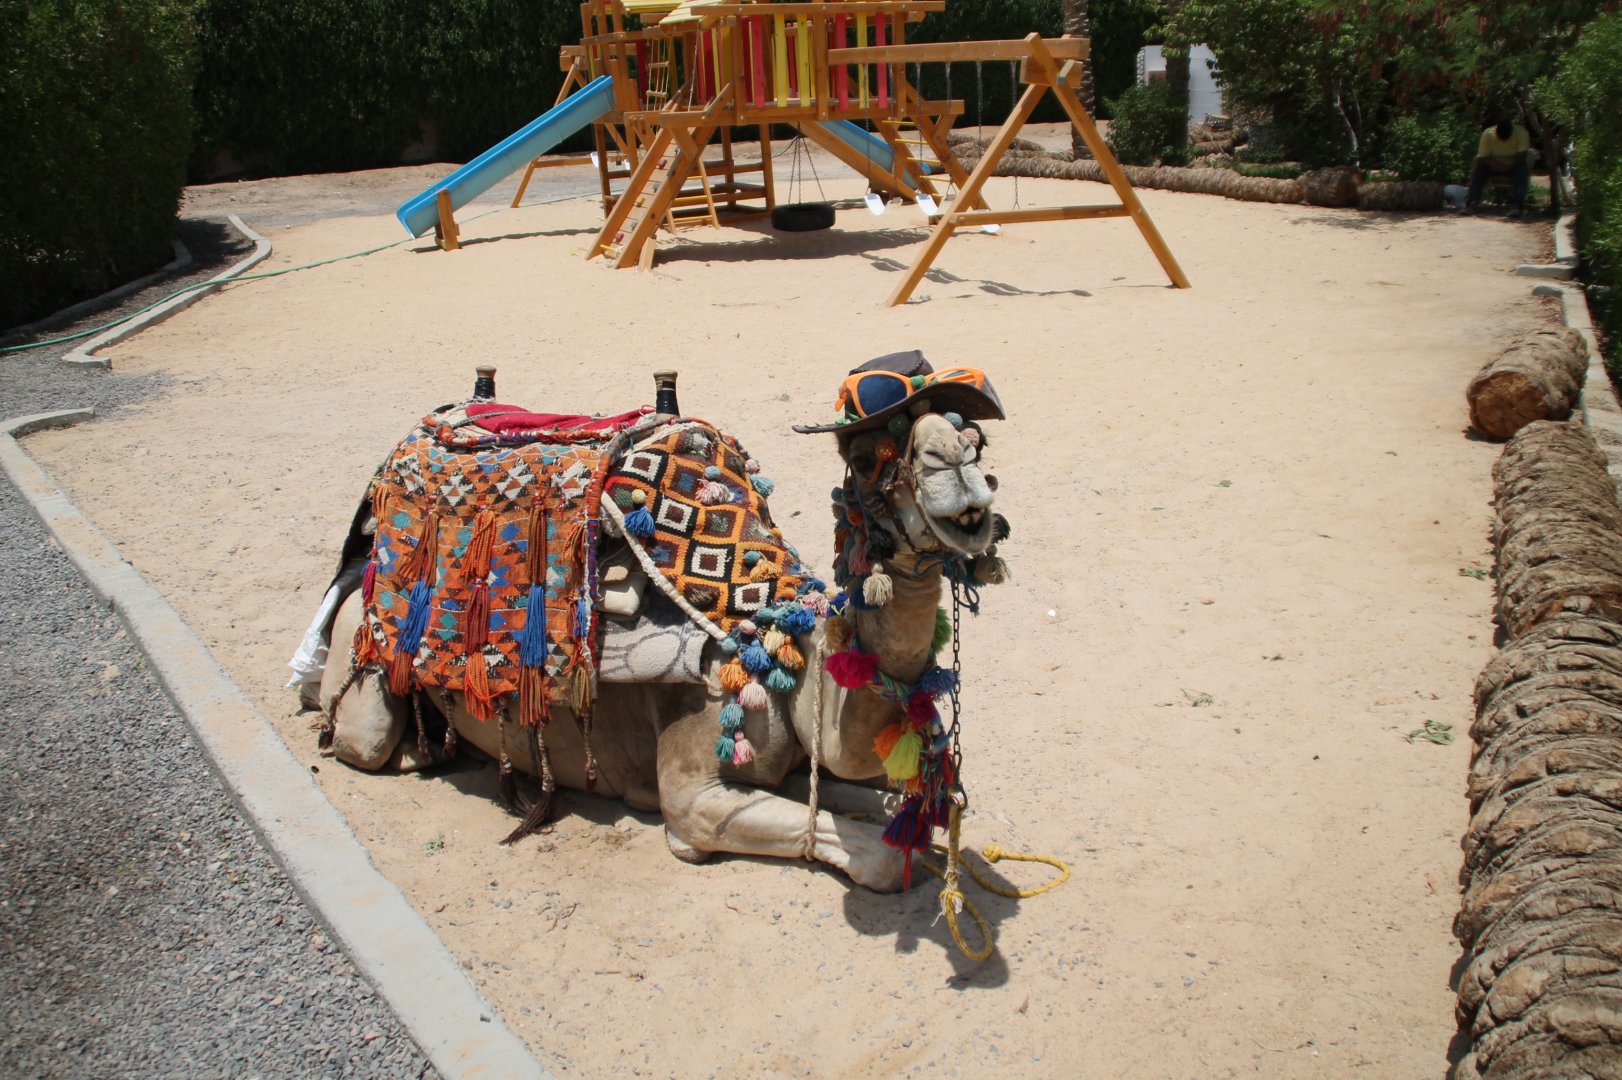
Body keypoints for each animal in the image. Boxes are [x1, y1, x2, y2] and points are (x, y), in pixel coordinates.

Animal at [312, 353, 1007, 892]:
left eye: (974, 435)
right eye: (865, 459)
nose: (953, 460)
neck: (774, 646)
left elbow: (913, 805)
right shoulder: (695, 792)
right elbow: (878, 859)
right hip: (362, 663)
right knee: (360, 737)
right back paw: (412, 752)